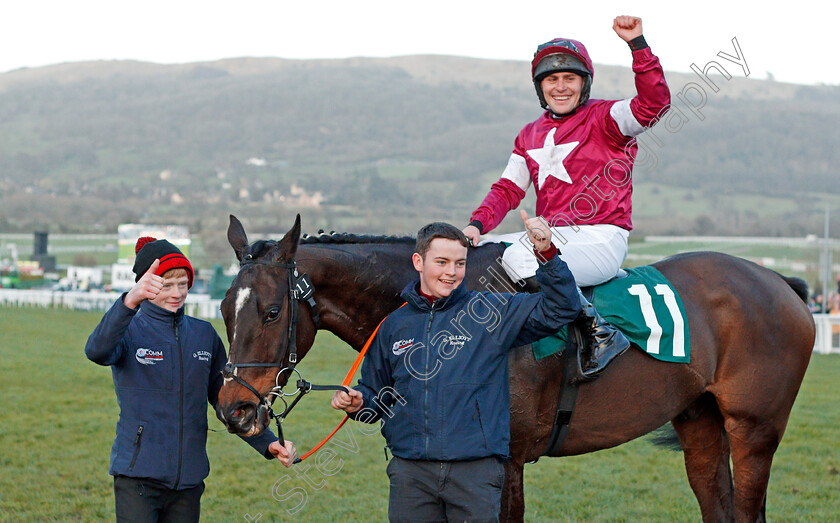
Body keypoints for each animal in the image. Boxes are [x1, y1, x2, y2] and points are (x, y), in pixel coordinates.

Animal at [215, 215, 812, 520]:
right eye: (223, 308)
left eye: (271, 312)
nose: (233, 409)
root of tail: (780, 282)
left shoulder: (503, 462)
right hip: (700, 421)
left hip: (755, 429)